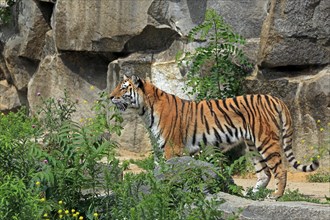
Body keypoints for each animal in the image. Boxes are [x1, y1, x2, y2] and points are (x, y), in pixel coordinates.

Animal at [109, 75, 320, 199]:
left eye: (124, 88)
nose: (110, 96)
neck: (144, 111)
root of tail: (275, 98)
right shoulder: (158, 149)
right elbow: (157, 171)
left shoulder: (171, 149)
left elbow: (169, 171)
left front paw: (164, 189)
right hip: (252, 145)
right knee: (264, 173)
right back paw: (249, 195)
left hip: (266, 141)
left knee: (280, 170)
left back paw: (276, 195)